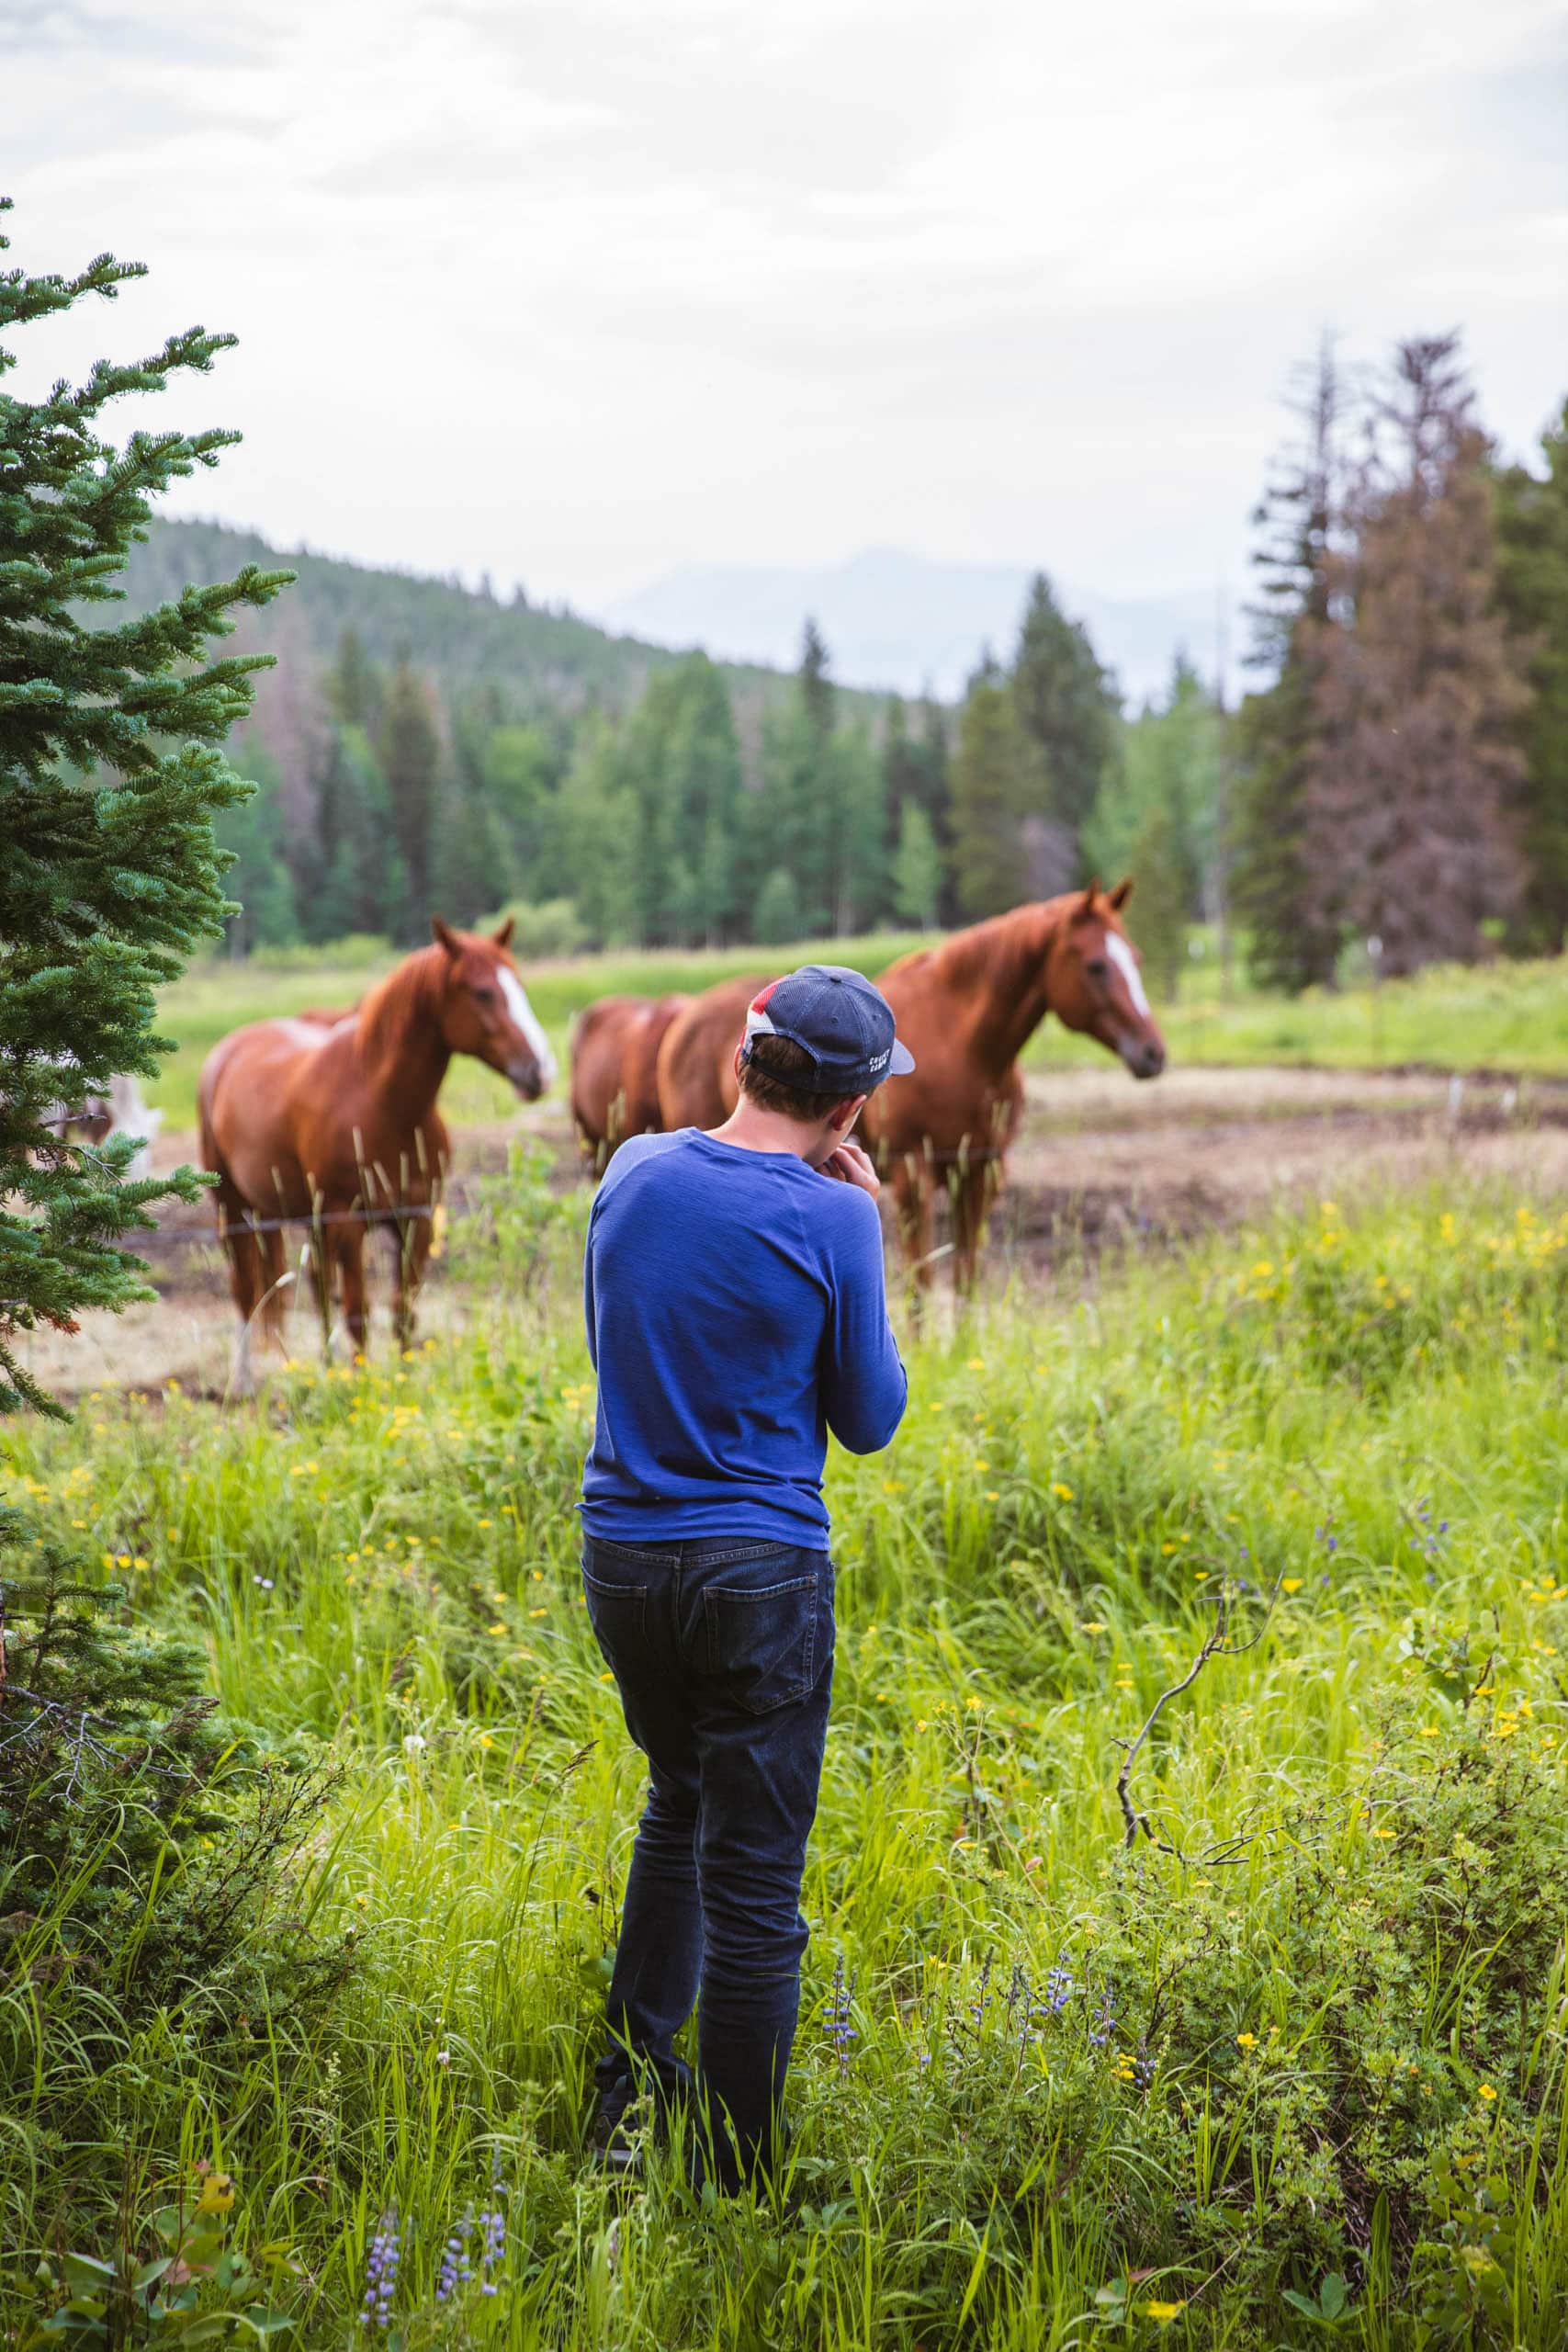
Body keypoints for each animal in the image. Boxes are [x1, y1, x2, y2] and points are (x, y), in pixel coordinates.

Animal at [198, 917, 557, 1389]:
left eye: (519, 984)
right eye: (482, 992)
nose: (542, 1071)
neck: (379, 1102)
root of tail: (226, 1052)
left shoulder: (416, 1219)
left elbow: (402, 1309)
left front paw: (402, 1381)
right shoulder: (349, 1223)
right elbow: (358, 1313)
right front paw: (363, 1387)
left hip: (305, 1218)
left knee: (314, 1285)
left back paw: (327, 1366)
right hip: (234, 1209)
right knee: (245, 1289)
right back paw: (243, 1383)